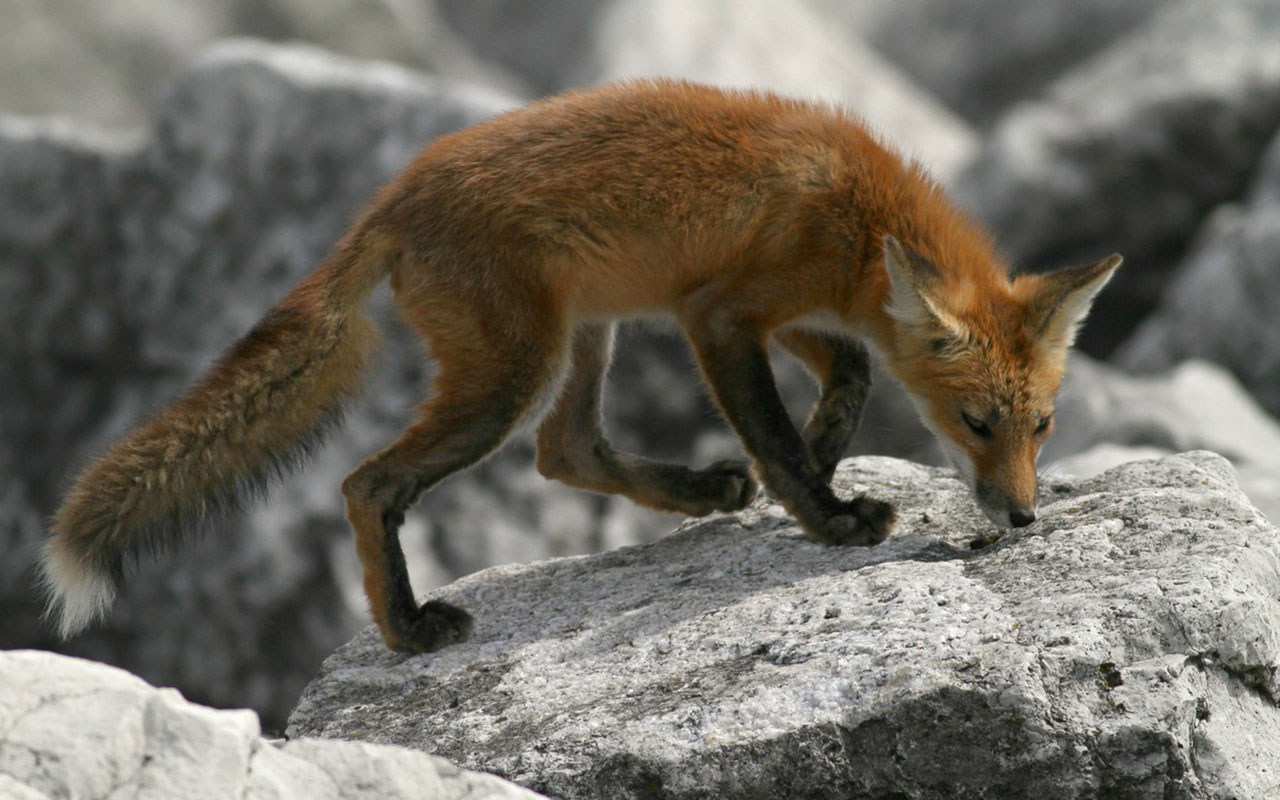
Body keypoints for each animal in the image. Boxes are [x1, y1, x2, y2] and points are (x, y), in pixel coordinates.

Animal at [41, 80, 1120, 654]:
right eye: (976, 424)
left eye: (1043, 425)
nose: (1022, 517)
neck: (857, 216)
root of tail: (392, 198)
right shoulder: (718, 311)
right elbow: (779, 424)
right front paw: (826, 512)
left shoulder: (770, 310)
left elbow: (849, 373)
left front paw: (816, 460)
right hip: (512, 372)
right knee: (370, 483)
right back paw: (407, 627)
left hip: (586, 334)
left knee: (567, 451)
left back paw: (700, 491)